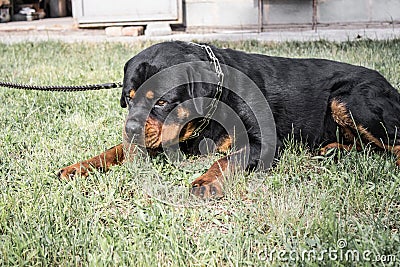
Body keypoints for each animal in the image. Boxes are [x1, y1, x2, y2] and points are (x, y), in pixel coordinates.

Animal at [58, 40, 400, 199]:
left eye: (163, 102)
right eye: (128, 98)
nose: (130, 127)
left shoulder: (264, 142)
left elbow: (226, 159)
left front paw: (205, 182)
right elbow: (114, 150)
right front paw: (79, 166)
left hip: (350, 100)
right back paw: (332, 150)